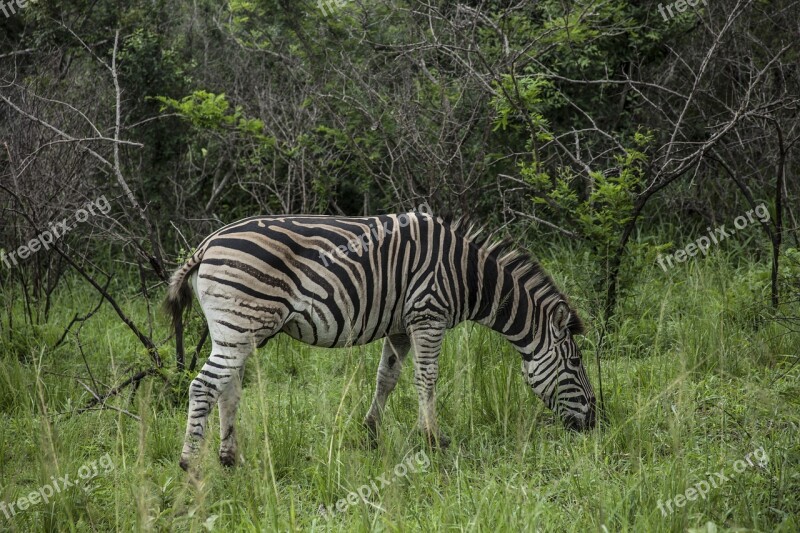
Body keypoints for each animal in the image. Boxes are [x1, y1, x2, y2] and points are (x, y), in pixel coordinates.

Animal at [167, 210, 592, 468]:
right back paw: (190, 463)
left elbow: (387, 377)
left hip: (238, 331)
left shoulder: (400, 326)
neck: (467, 275)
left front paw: (371, 432)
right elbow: (427, 378)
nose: (594, 423)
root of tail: (207, 244)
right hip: (240, 324)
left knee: (228, 388)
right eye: (575, 362)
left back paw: (229, 458)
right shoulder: (428, 315)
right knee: (204, 386)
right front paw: (433, 439)